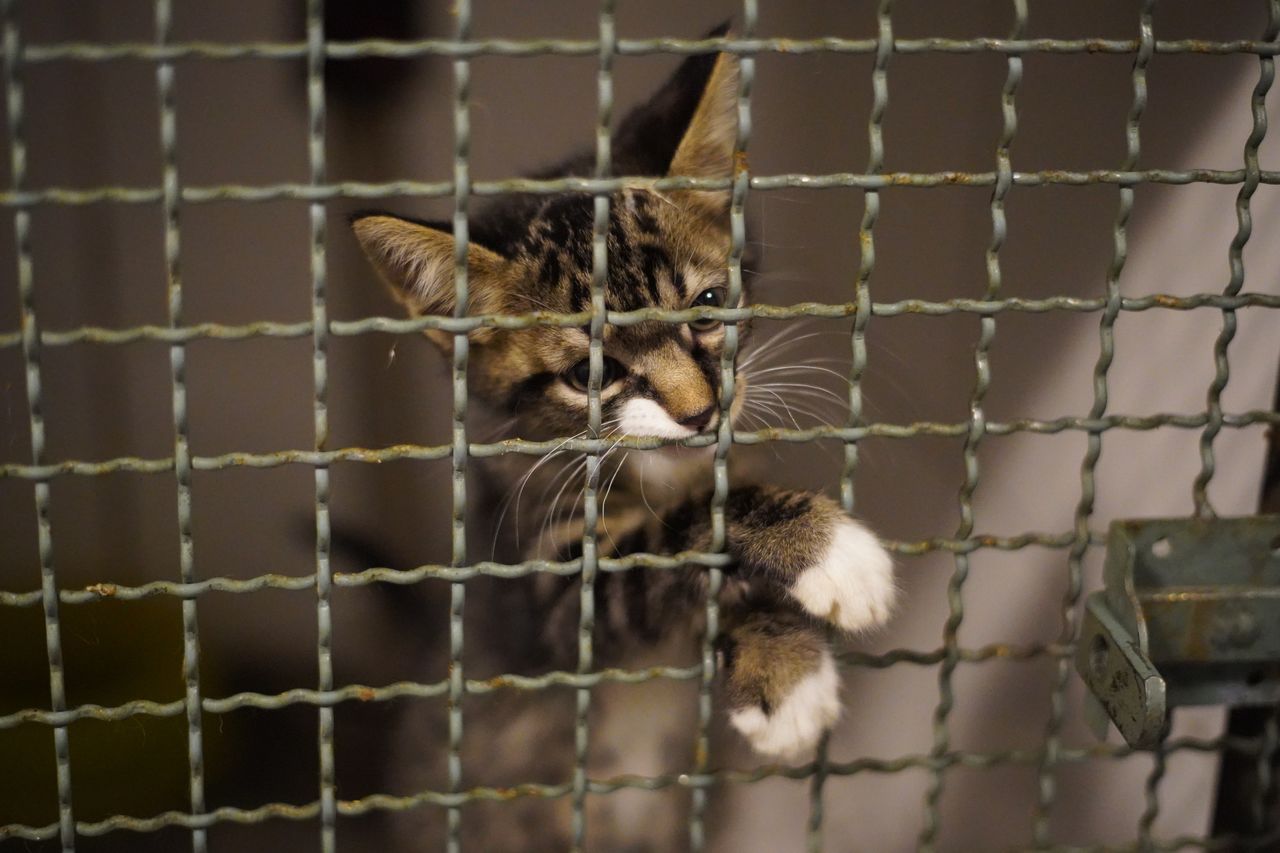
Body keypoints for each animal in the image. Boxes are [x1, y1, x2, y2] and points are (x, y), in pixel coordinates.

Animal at [345, 29, 896, 845]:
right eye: (587, 372)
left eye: (709, 305)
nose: (700, 413)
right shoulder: (538, 591)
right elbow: (666, 545)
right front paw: (826, 553)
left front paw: (780, 667)